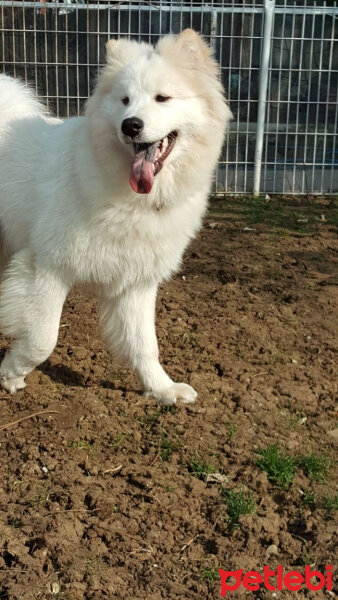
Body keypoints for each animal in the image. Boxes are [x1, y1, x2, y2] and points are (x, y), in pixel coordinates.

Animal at [0, 28, 231, 404]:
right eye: (125, 100)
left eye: (162, 98)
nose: (131, 125)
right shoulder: (46, 268)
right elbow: (42, 339)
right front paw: (11, 374)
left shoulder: (136, 284)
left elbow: (145, 345)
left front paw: (162, 389)